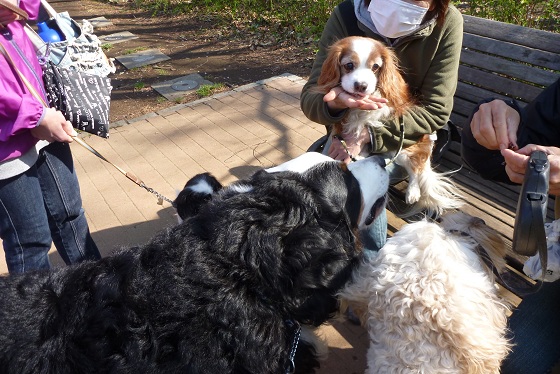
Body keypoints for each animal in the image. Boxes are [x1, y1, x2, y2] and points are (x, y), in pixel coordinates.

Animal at [318, 36, 462, 216]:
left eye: (375, 67)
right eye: (349, 65)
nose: (362, 86)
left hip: (404, 149)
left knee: (417, 168)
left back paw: (412, 191)